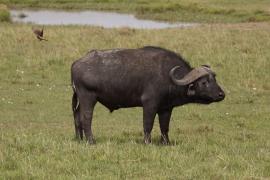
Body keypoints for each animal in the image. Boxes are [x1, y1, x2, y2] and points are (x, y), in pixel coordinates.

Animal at [70, 46, 225, 145]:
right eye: (204, 82)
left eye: (214, 79)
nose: (221, 94)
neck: (168, 76)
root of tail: (76, 63)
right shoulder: (150, 104)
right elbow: (148, 124)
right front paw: (147, 142)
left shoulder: (166, 108)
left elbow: (164, 126)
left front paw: (166, 142)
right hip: (88, 98)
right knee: (86, 118)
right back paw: (91, 141)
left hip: (79, 100)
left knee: (77, 117)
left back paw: (79, 139)